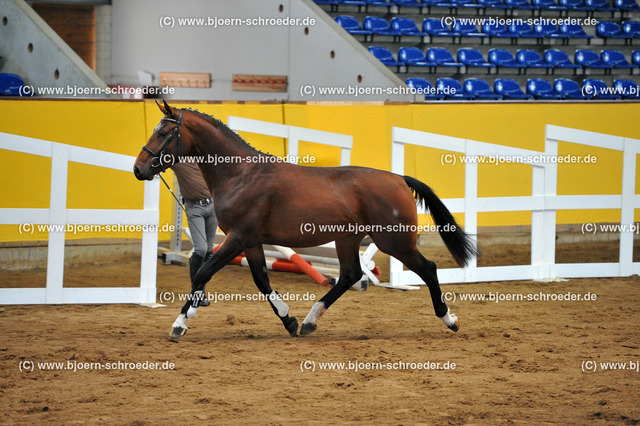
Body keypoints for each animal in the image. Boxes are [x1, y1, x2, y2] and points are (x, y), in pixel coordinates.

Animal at [134, 100, 476, 340]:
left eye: (163, 133)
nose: (139, 169)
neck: (241, 174)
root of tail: (399, 179)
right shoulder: (251, 241)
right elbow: (262, 280)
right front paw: (289, 320)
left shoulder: (238, 238)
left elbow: (203, 273)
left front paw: (180, 324)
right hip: (348, 239)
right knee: (350, 275)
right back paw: (311, 320)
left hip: (394, 241)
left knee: (427, 269)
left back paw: (449, 319)